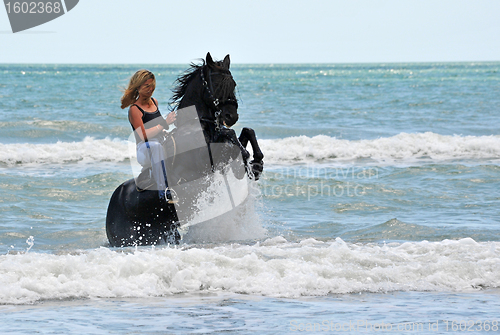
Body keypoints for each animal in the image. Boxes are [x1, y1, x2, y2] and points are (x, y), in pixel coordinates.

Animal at [106, 52, 266, 247]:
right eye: (217, 84)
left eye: (233, 84)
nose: (231, 116)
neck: (197, 126)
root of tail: (113, 202)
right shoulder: (206, 161)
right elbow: (231, 134)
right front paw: (245, 162)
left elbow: (245, 131)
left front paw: (256, 164)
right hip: (128, 238)